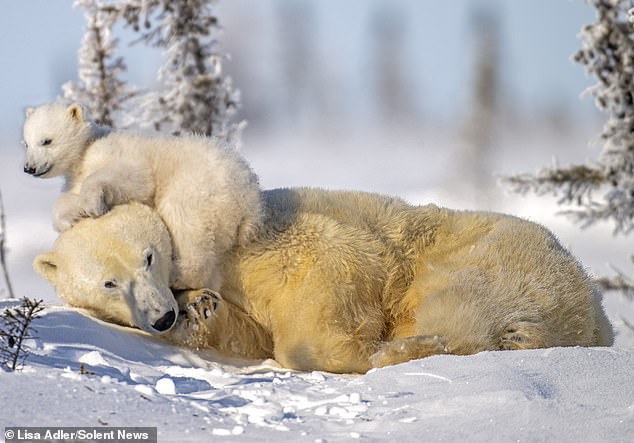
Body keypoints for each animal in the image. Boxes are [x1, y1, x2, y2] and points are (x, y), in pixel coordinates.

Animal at [35, 191, 612, 374]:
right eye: (108, 284)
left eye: (149, 258)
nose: (162, 316)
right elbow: (246, 331)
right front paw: (201, 311)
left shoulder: (281, 240)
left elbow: (327, 275)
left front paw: (343, 352)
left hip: (489, 258)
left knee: (457, 307)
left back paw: (396, 350)